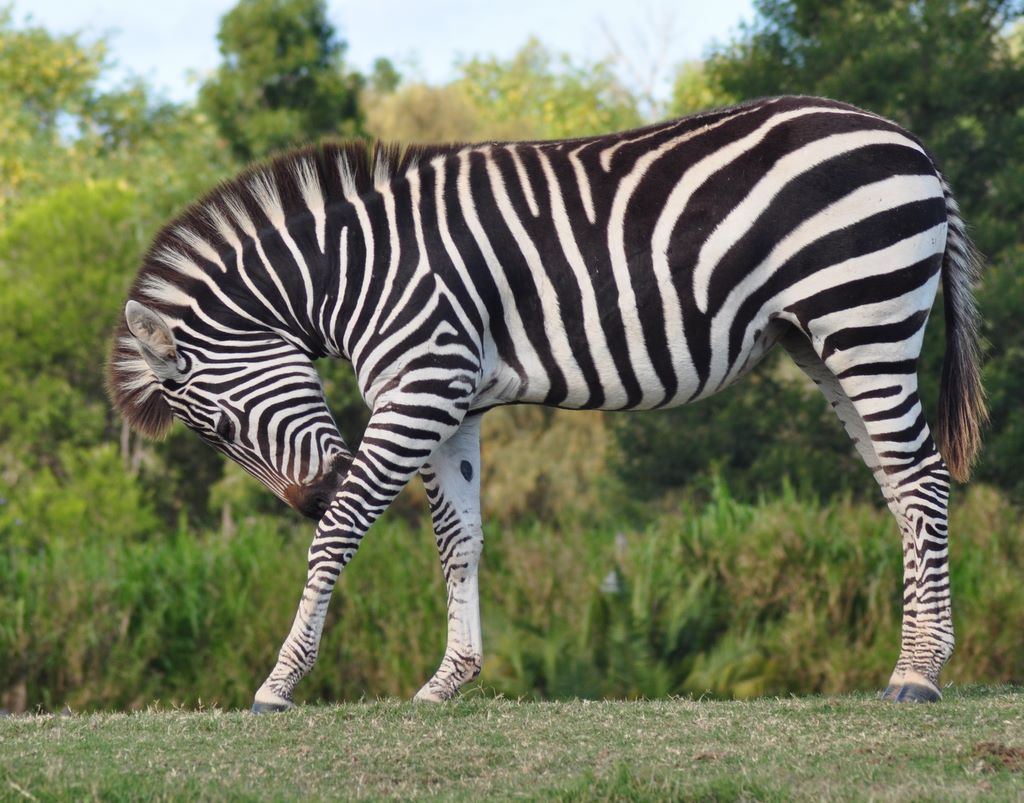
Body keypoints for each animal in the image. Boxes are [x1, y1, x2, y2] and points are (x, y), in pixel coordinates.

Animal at [108, 95, 985, 711]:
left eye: (219, 429)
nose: (306, 496)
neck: (355, 273)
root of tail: (912, 147)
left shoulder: (421, 385)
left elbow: (343, 532)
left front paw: (278, 682)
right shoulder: (454, 401)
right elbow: (458, 541)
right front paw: (449, 680)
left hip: (864, 316)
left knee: (921, 477)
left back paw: (918, 672)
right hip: (824, 340)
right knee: (898, 482)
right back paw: (917, 660)